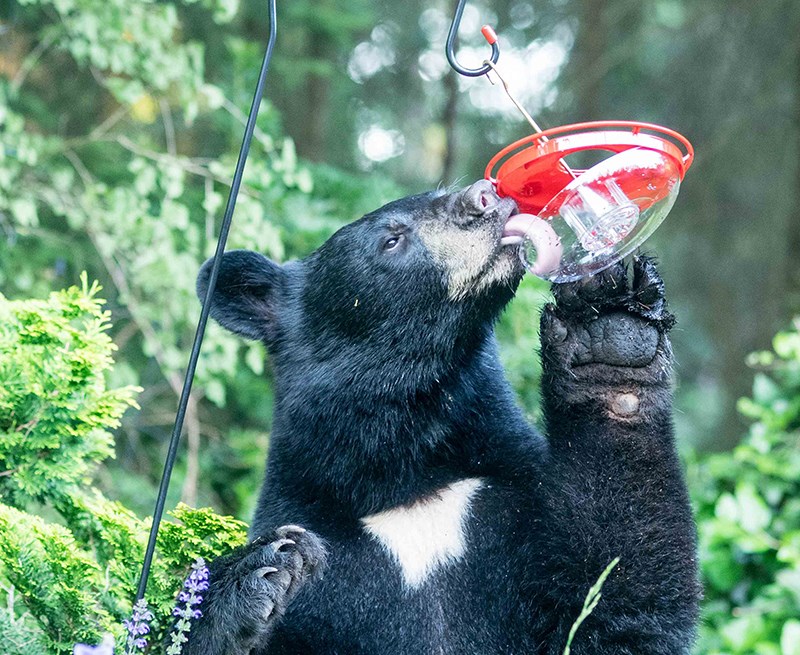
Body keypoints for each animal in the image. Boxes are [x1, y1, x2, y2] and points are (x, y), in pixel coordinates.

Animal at [188, 181, 700, 655]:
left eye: (437, 192)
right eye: (391, 239)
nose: (484, 197)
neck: (409, 468)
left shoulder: (512, 501)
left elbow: (614, 594)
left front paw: (609, 329)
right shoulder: (318, 539)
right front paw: (262, 570)